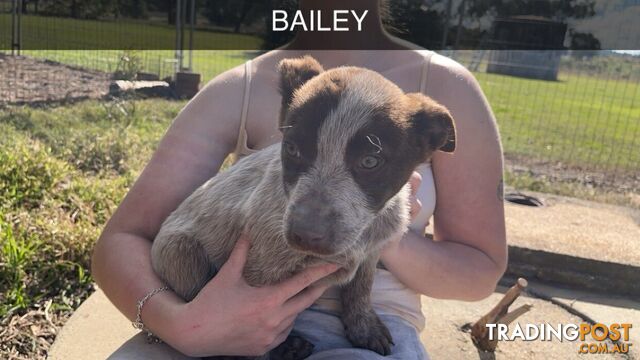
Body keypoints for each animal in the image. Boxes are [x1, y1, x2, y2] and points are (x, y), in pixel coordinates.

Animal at [152, 54, 458, 358]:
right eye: (292, 148)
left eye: (371, 161)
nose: (304, 236)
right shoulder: (257, 277)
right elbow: (247, 336)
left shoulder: (372, 250)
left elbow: (361, 287)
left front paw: (364, 326)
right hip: (182, 252)